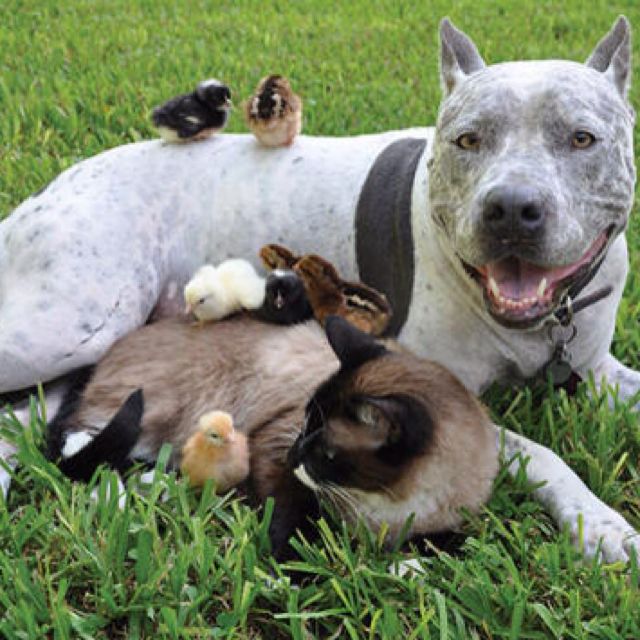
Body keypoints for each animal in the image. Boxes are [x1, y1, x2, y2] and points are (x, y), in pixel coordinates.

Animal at [48, 316, 500, 560]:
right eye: (304, 423)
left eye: (325, 451)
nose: (296, 453)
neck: (383, 504)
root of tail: (104, 357)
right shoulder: (272, 447)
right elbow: (289, 521)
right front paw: (295, 569)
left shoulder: (449, 525)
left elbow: (448, 545)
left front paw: (408, 563)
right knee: (76, 445)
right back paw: (128, 493)